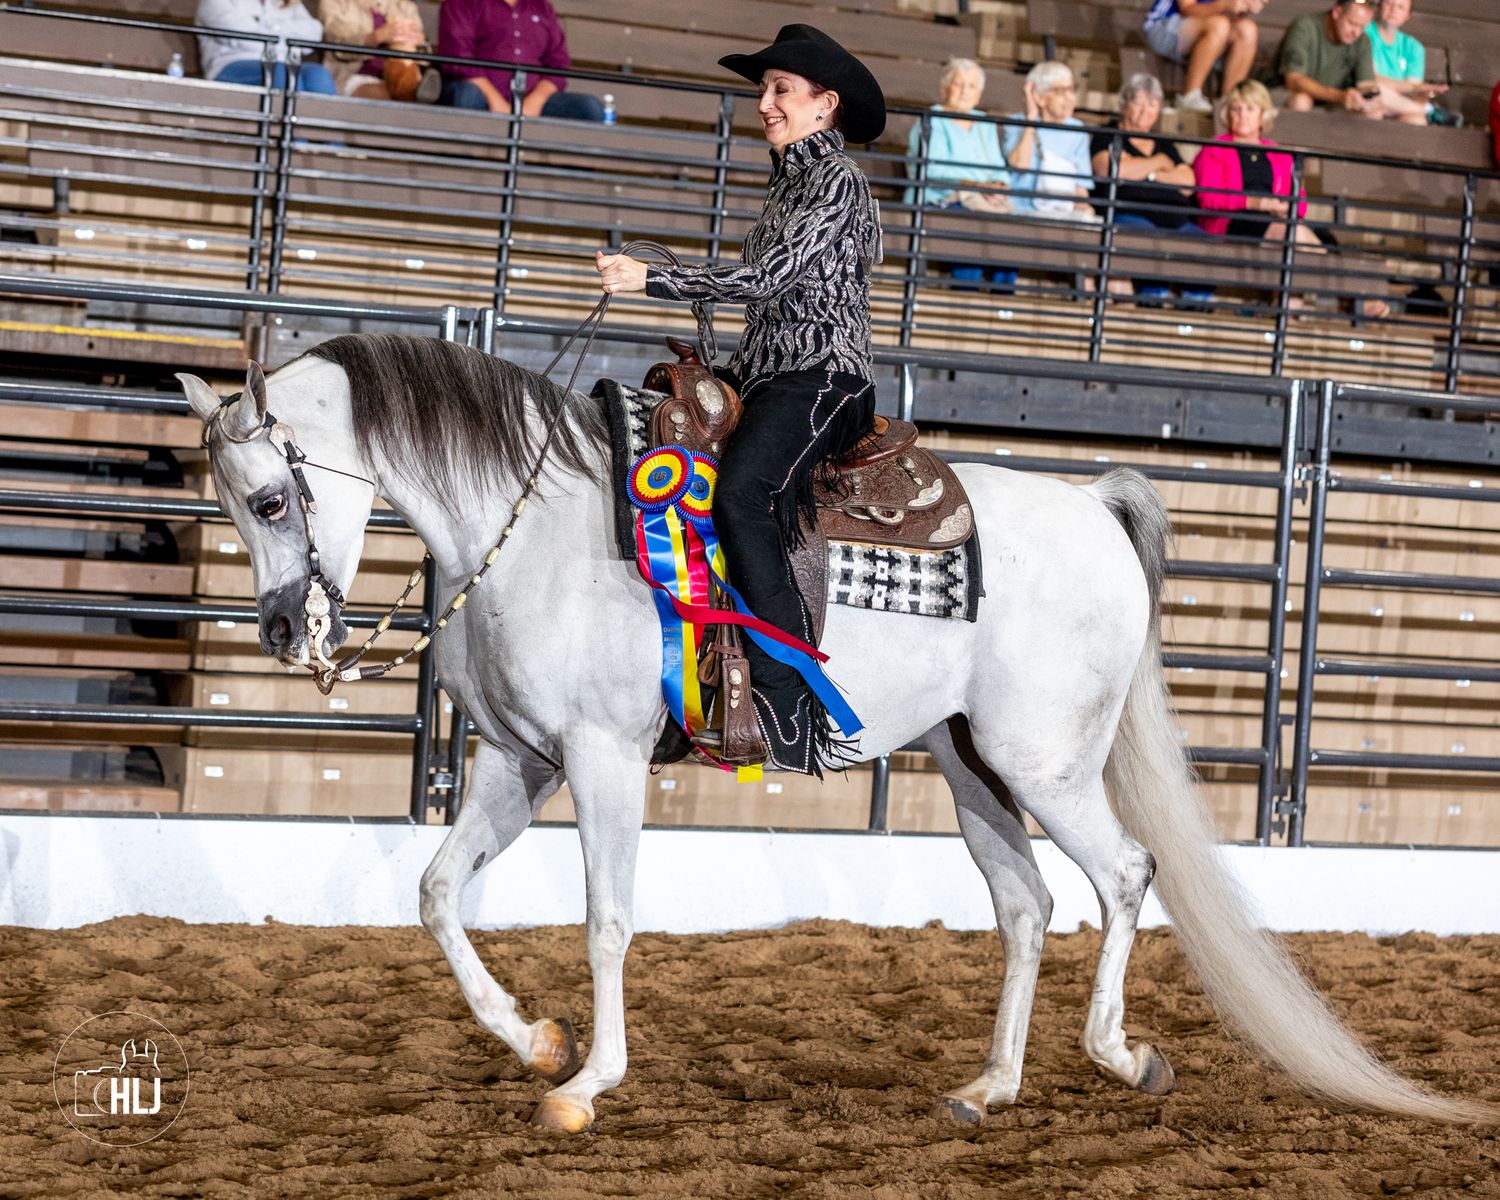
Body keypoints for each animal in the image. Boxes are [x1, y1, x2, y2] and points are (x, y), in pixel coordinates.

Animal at [177, 332, 1490, 1133]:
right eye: (235, 506)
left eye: (274, 497)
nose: (284, 630)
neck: (533, 525)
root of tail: (1092, 506)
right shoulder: (520, 761)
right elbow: (439, 892)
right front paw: (534, 1039)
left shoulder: (602, 761)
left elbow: (607, 922)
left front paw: (589, 1079)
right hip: (970, 766)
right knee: (1028, 906)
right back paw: (990, 1087)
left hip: (1045, 763)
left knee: (1124, 874)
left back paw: (1120, 1055)